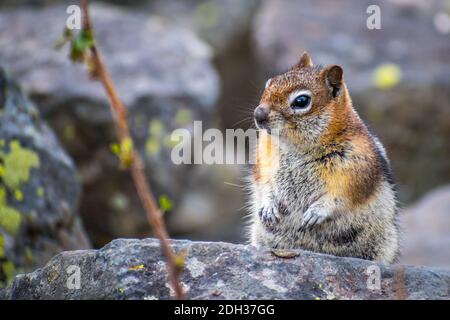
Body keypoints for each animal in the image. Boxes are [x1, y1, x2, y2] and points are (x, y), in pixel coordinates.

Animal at [250, 52, 400, 262]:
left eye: (301, 101)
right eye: (269, 83)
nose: (258, 114)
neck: (296, 148)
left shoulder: (358, 167)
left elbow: (343, 195)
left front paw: (317, 212)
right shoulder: (263, 160)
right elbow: (263, 182)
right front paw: (268, 207)